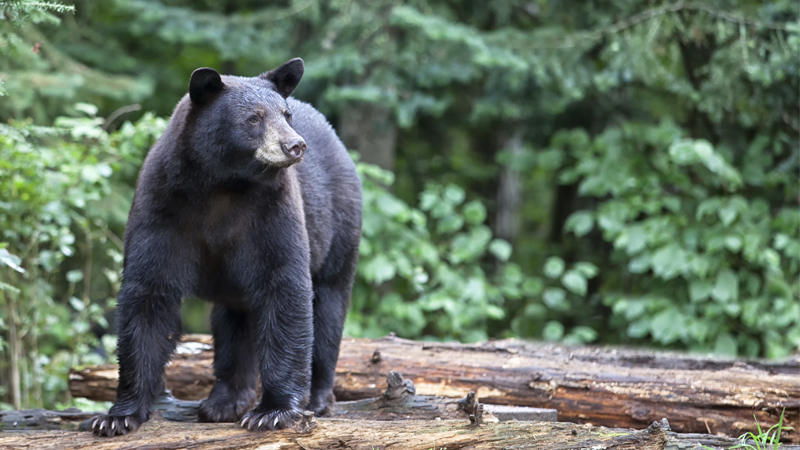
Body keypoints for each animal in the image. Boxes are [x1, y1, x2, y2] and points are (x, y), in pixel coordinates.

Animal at [90, 58, 362, 436]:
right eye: (254, 118)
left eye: (286, 114)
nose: (295, 145)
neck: (223, 185)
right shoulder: (161, 208)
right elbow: (148, 294)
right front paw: (117, 415)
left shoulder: (272, 212)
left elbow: (284, 287)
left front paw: (273, 411)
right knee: (233, 322)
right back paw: (225, 401)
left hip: (339, 226)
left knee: (328, 306)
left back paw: (318, 398)